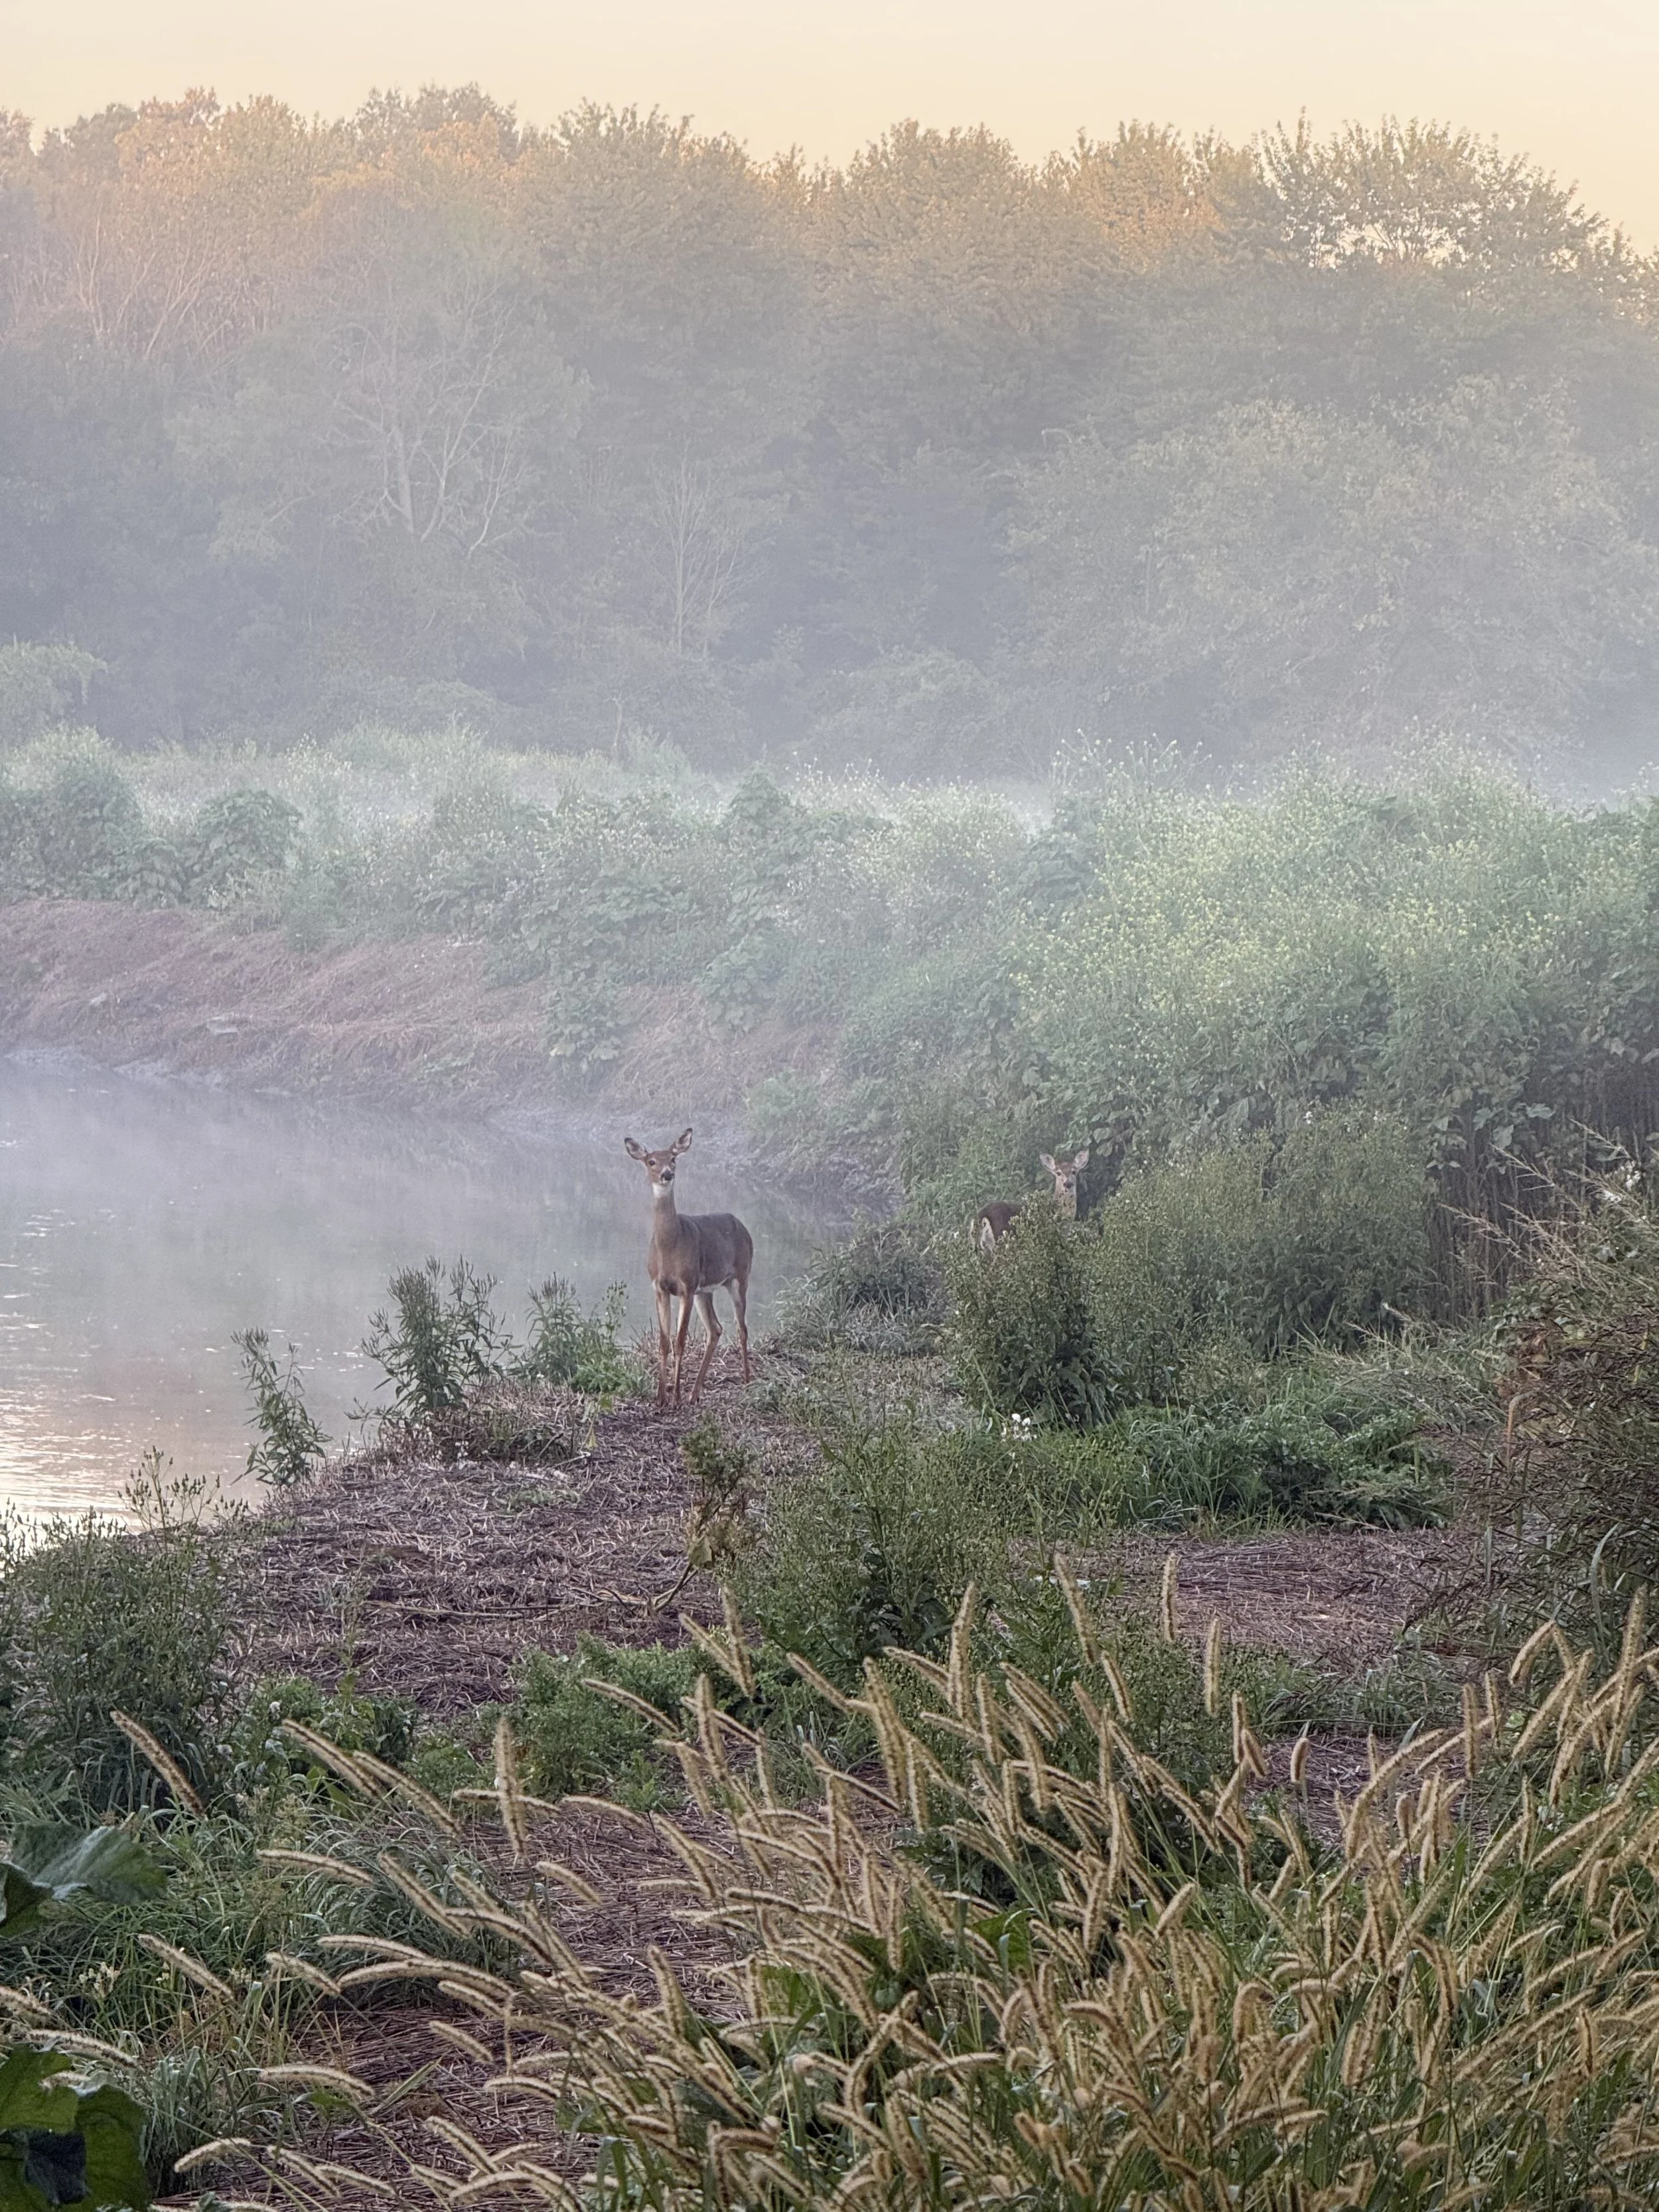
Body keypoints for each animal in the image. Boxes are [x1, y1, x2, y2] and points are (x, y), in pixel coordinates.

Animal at [623, 1127, 753, 1411]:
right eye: (651, 1161)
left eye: (674, 1159)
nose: (667, 1174)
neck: (671, 1246)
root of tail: (743, 1226)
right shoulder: (659, 1287)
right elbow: (664, 1342)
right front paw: (660, 1397)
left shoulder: (687, 1286)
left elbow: (680, 1341)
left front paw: (675, 1397)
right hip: (706, 1290)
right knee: (715, 1329)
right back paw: (696, 1393)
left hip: (740, 1276)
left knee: (742, 1327)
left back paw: (748, 1380)